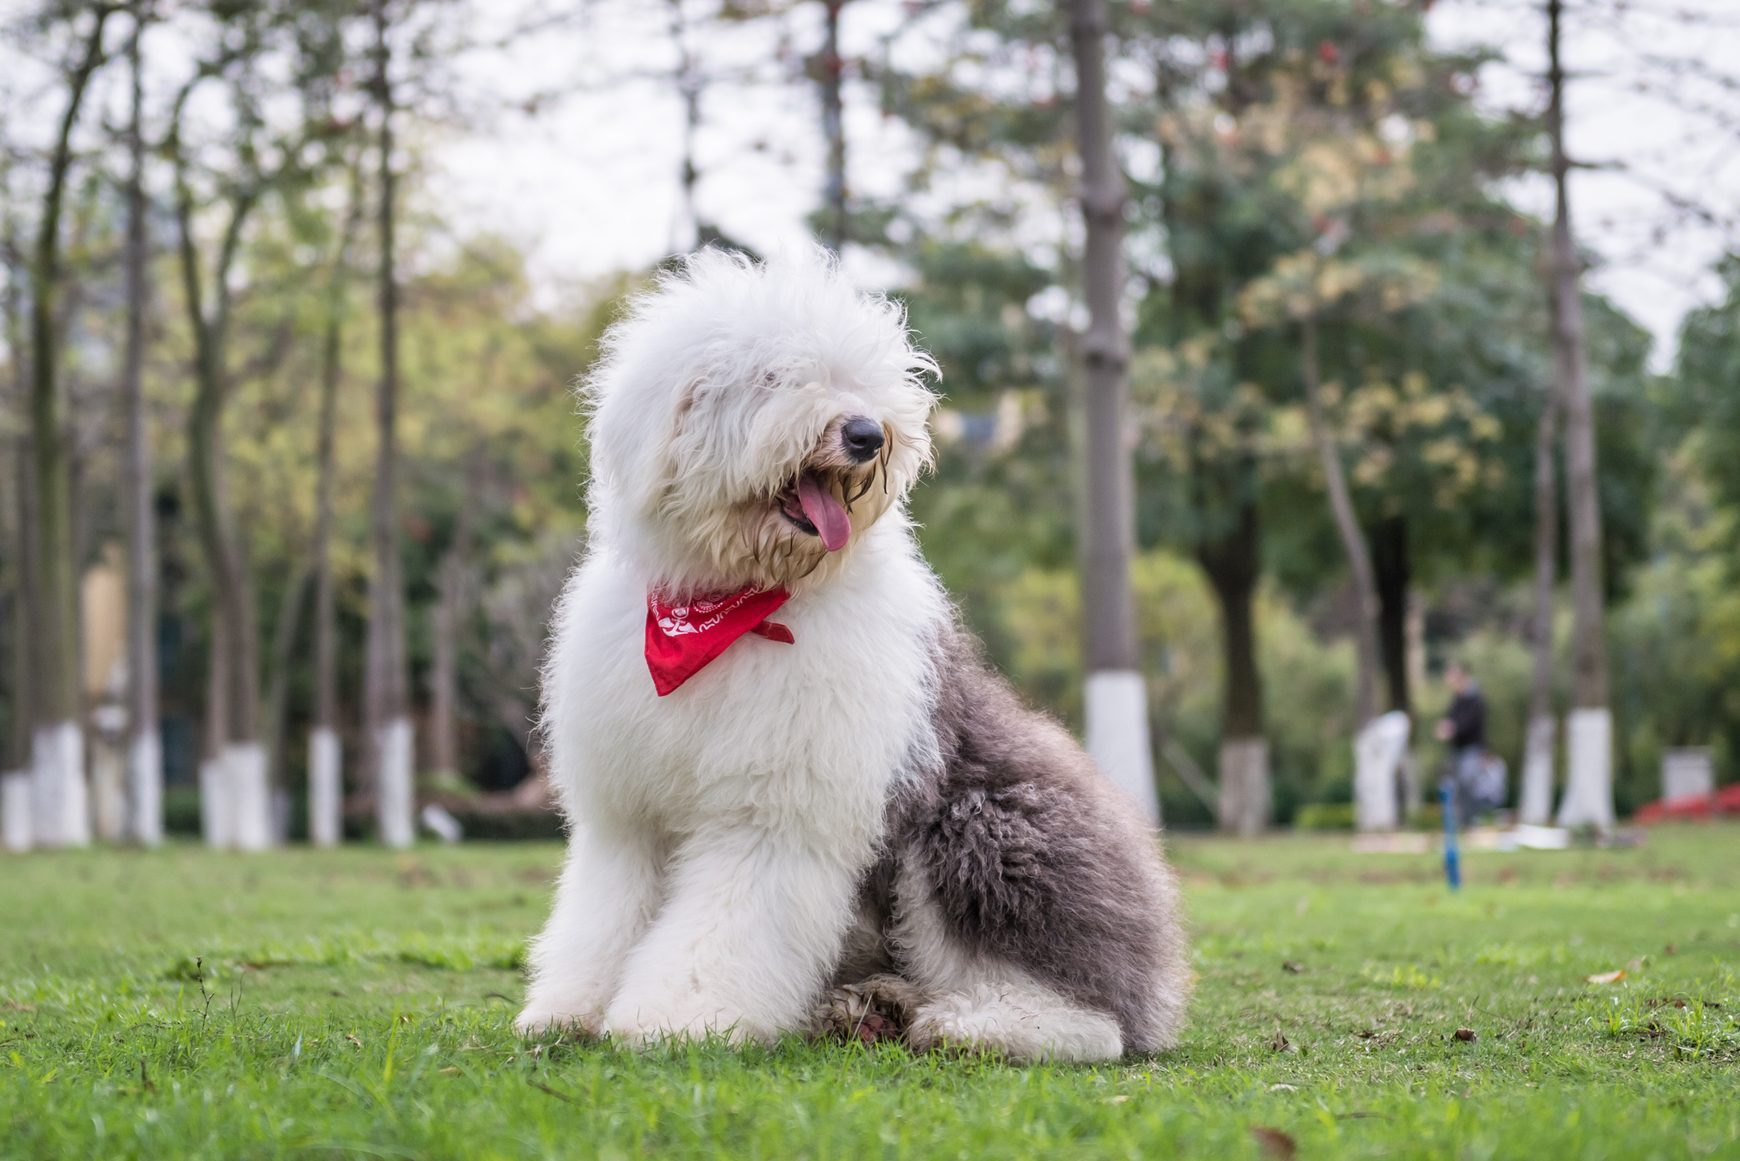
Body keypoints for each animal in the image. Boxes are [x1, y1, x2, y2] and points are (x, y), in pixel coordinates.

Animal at [515, 247, 1190, 1065]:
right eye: (773, 376)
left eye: (864, 380)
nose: (867, 433)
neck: (733, 611)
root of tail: (1154, 980)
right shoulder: (628, 814)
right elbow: (608, 912)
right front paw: (571, 1009)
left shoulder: (774, 812)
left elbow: (723, 923)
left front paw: (677, 1016)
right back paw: (868, 1006)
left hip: (982, 826)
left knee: (1091, 1014)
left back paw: (974, 1023)